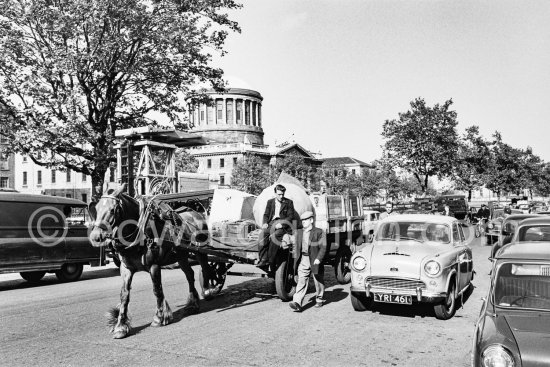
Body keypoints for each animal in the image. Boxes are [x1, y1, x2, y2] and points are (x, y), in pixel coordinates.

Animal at [89, 185, 218, 340]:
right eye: (96, 208)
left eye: (113, 209)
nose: (95, 236)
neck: (140, 231)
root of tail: (197, 213)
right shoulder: (126, 269)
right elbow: (124, 295)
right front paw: (120, 326)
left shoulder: (154, 265)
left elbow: (157, 290)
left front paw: (160, 317)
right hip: (181, 256)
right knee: (189, 275)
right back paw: (193, 304)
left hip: (200, 251)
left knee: (205, 268)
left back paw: (208, 291)